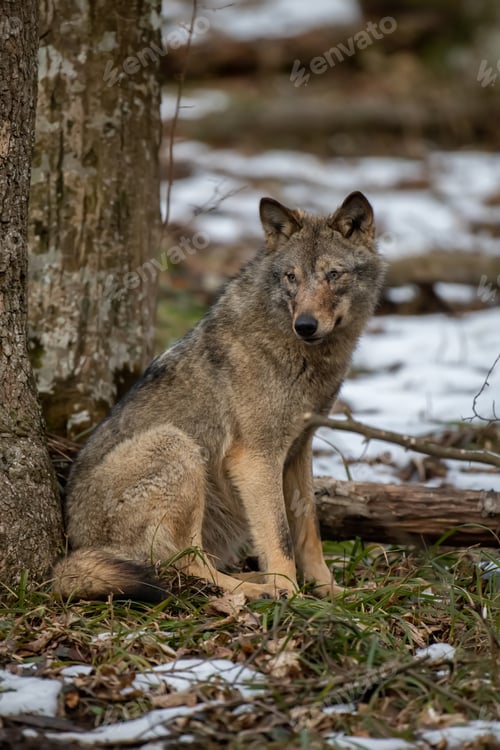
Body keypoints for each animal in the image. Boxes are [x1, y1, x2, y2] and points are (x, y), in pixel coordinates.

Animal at [53, 191, 385, 602]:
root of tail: (75, 544)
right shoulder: (256, 459)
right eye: (291, 277)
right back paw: (259, 591)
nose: (305, 325)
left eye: (333, 275)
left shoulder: (299, 451)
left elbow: (309, 532)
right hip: (177, 445)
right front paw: (291, 593)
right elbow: (280, 538)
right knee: (184, 565)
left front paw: (331, 592)